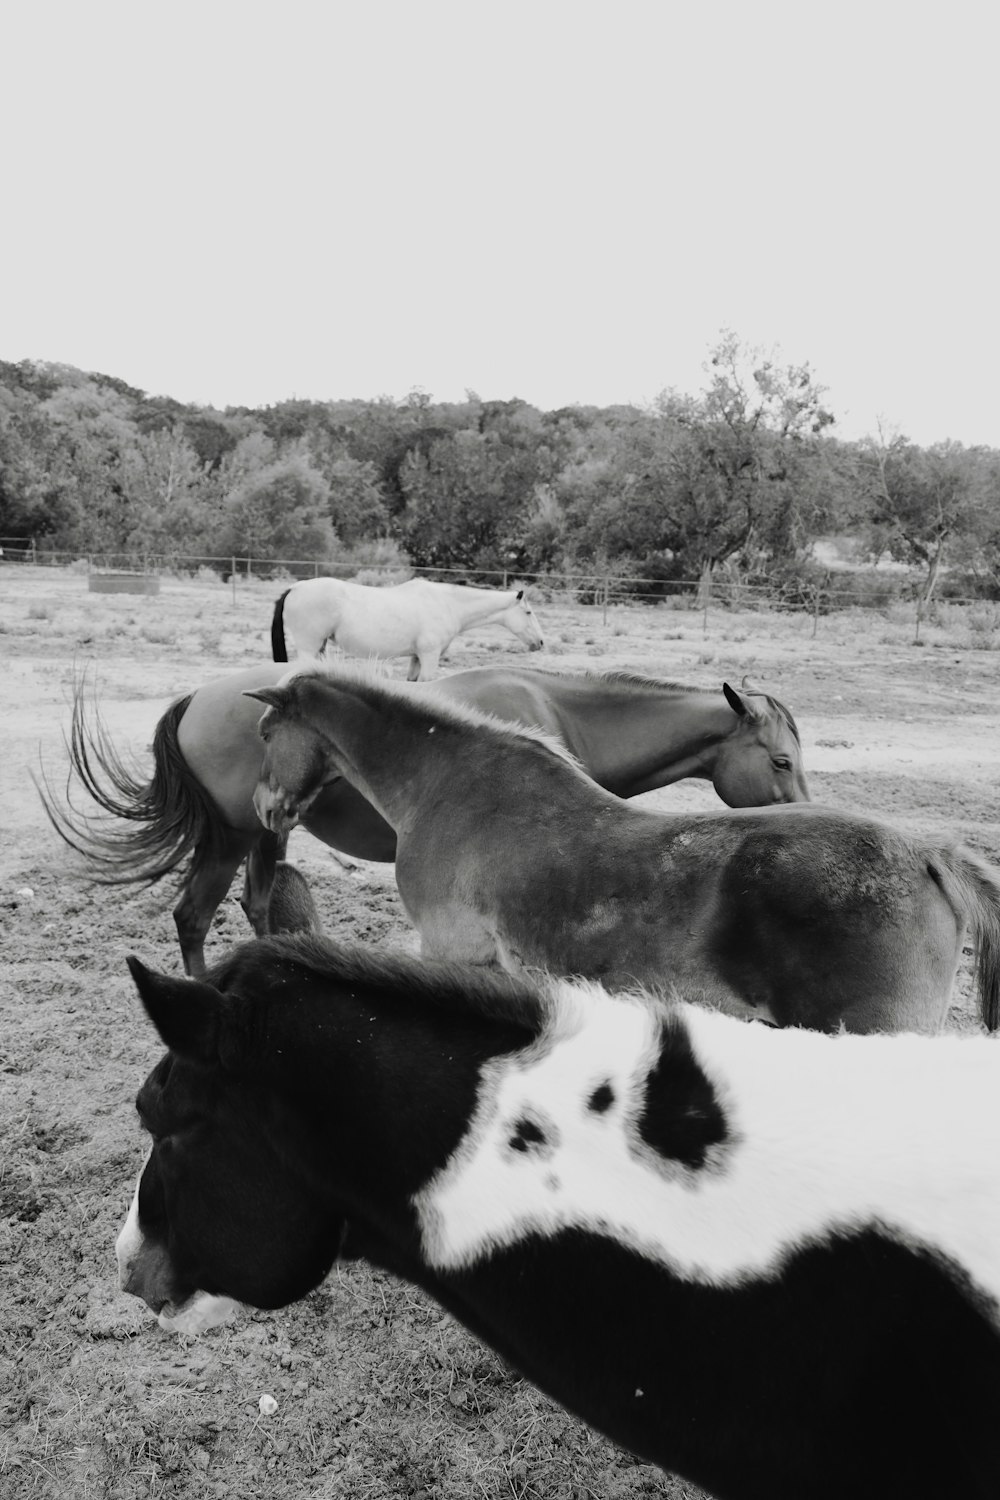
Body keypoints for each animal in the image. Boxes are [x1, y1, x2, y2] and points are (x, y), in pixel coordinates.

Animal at [39, 666, 809, 978]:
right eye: (779, 759)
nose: (805, 809)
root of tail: (198, 695)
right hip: (233, 839)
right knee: (194, 918)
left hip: (267, 833)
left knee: (255, 907)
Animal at [269, 573, 542, 681]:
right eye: (528, 612)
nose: (540, 642)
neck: (447, 604)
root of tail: (295, 588)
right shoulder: (430, 657)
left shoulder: (417, 657)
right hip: (309, 648)